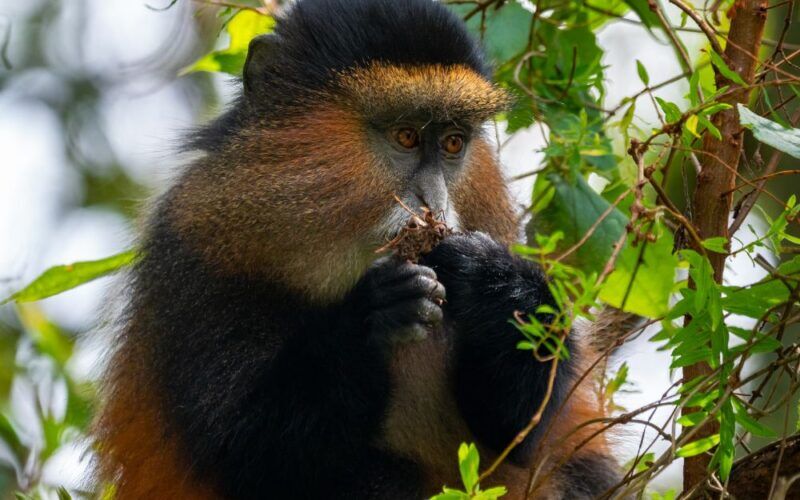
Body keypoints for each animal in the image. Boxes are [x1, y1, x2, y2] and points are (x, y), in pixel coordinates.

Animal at [94, 0, 623, 498]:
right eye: (406, 136)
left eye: (453, 143)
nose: (435, 203)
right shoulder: (194, 246)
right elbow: (245, 451)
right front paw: (376, 316)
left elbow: (518, 431)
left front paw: (495, 282)